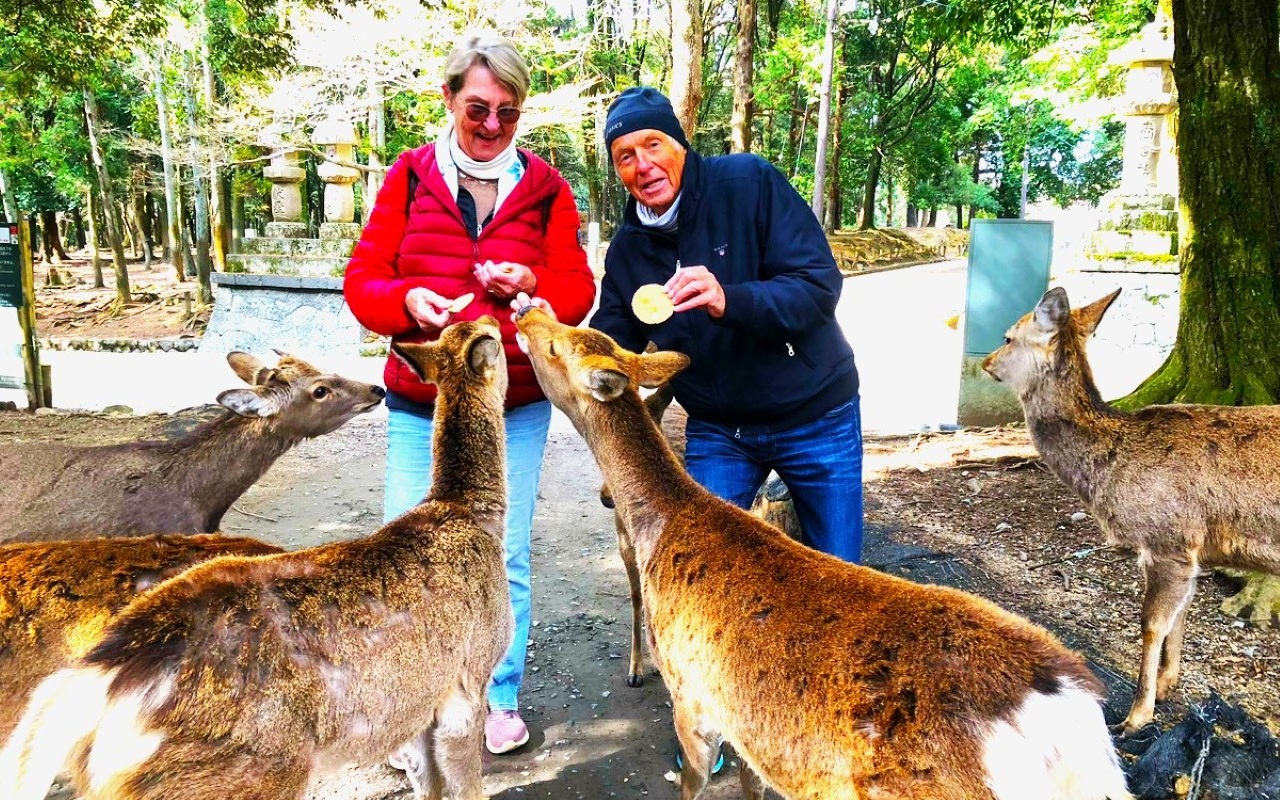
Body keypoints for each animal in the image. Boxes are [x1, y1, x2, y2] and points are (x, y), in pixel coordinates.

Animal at [982, 287, 1280, 735]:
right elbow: (1181, 613)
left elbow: (1152, 624)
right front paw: (1168, 684)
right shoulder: (1193, 551)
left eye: (1007, 337)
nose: (984, 362)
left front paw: (1136, 716)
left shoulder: (1168, 539)